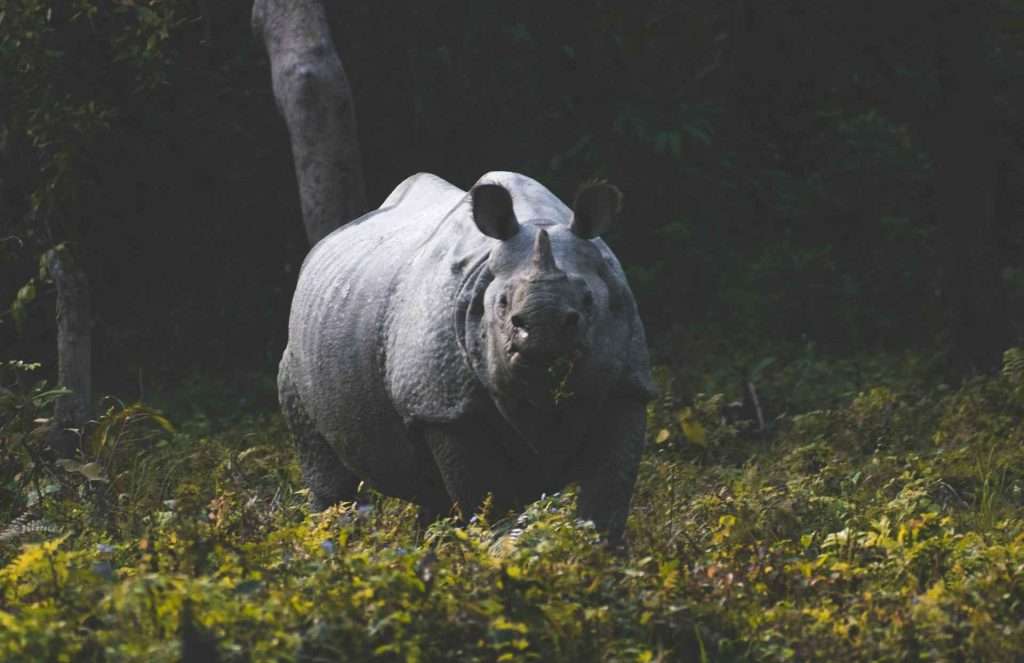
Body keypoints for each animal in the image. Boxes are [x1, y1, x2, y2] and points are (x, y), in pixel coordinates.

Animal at [278, 171, 655, 542]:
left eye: (588, 301)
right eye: (502, 305)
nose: (543, 332)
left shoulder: (627, 386)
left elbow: (607, 497)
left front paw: (598, 553)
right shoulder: (445, 409)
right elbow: (484, 499)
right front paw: (494, 549)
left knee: (431, 492)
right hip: (297, 354)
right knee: (330, 478)